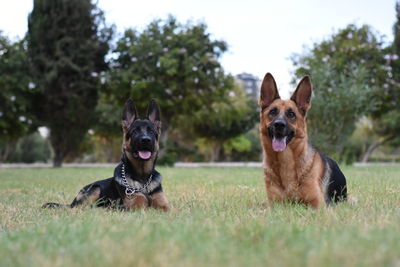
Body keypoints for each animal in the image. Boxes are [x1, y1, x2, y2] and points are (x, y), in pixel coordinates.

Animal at [41, 99, 169, 213]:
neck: (142, 178)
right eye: (135, 131)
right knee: (77, 208)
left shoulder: (165, 206)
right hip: (95, 189)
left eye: (151, 131)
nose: (145, 140)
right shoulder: (136, 207)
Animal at [260, 73, 346, 209]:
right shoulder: (274, 205)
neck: (285, 161)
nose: (279, 125)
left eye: (291, 114)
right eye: (272, 112)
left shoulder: (318, 204)